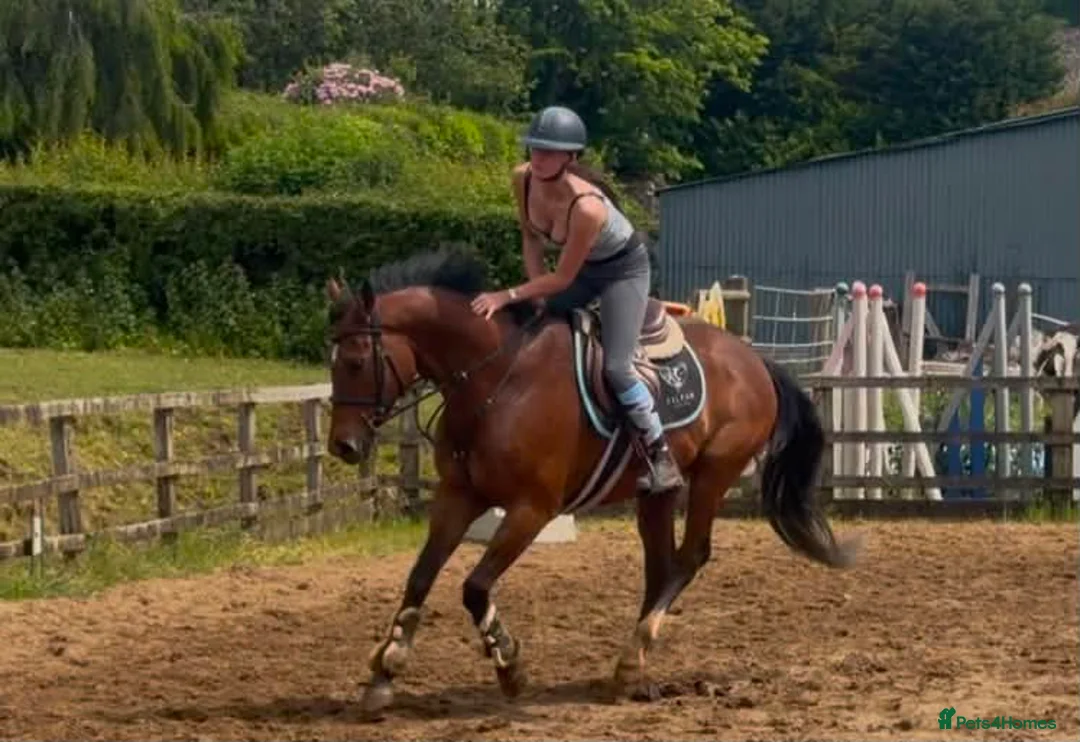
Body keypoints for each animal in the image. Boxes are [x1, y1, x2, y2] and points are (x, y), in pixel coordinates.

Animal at [324, 246, 861, 717]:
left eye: (356, 361)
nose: (343, 447)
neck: (494, 379)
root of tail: (754, 360)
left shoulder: (531, 509)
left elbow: (474, 587)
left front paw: (509, 665)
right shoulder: (458, 497)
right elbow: (419, 577)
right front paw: (385, 672)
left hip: (714, 473)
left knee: (689, 557)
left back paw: (631, 657)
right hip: (656, 493)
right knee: (660, 565)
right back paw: (635, 671)